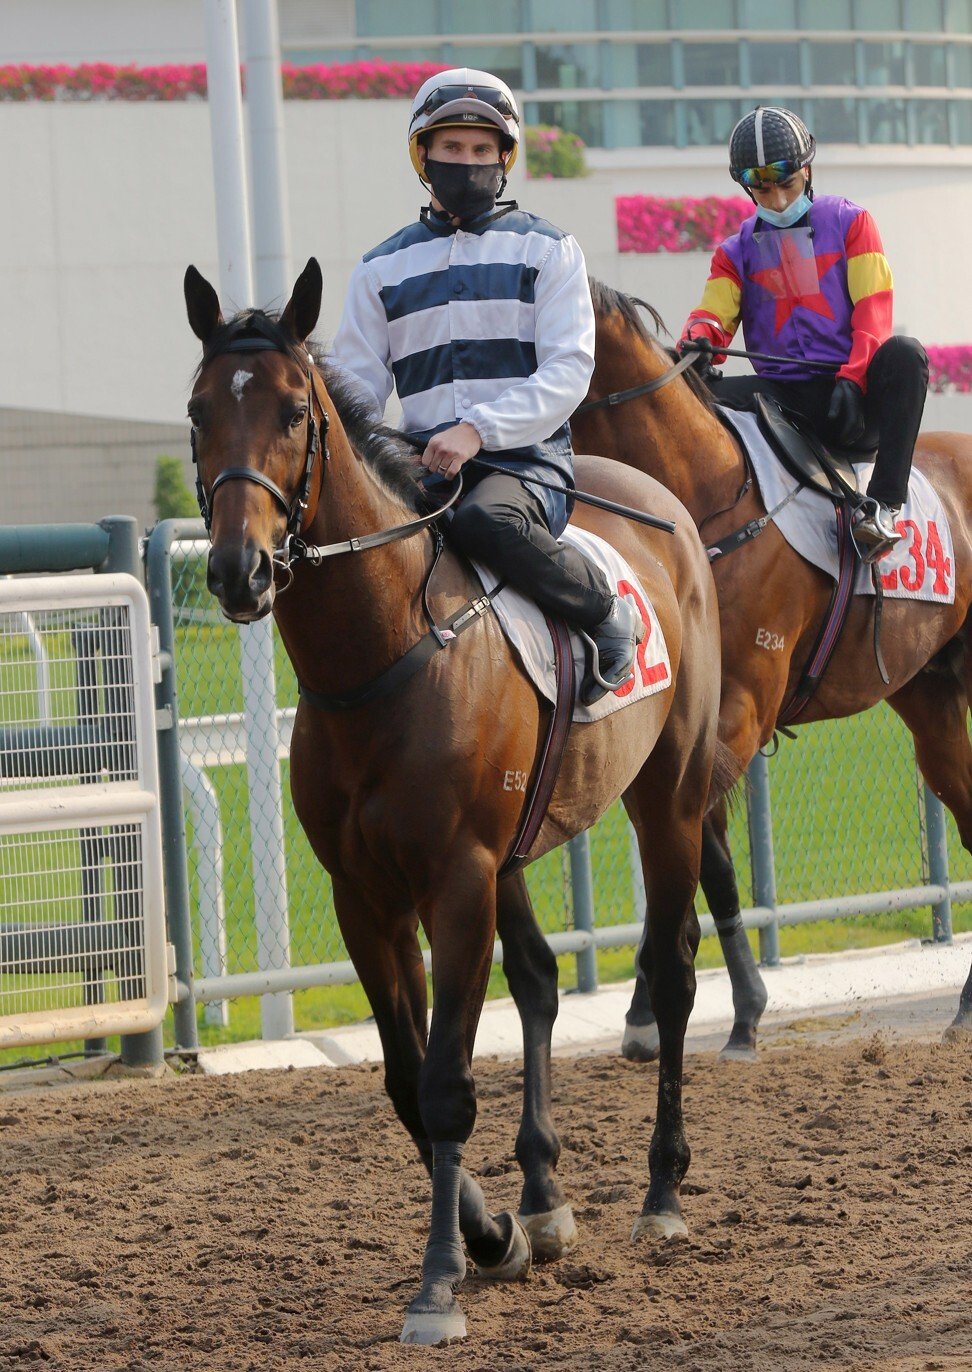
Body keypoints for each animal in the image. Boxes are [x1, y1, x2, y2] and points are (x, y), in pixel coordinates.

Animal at [186, 259, 724, 1350]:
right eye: (196, 412)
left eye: (294, 410)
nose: (236, 569)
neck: (386, 658)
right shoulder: (367, 896)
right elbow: (405, 1079)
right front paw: (497, 1232)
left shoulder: (456, 882)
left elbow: (443, 1085)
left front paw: (442, 1282)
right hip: (517, 853)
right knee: (541, 979)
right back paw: (547, 1196)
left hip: (671, 797)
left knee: (674, 969)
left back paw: (660, 1192)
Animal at [573, 275, 972, 1048]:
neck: (698, 502)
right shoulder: (689, 726)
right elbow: (703, 853)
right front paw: (719, 1007)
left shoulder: (743, 707)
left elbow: (689, 841)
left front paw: (665, 998)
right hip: (932, 700)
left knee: (905, 355)